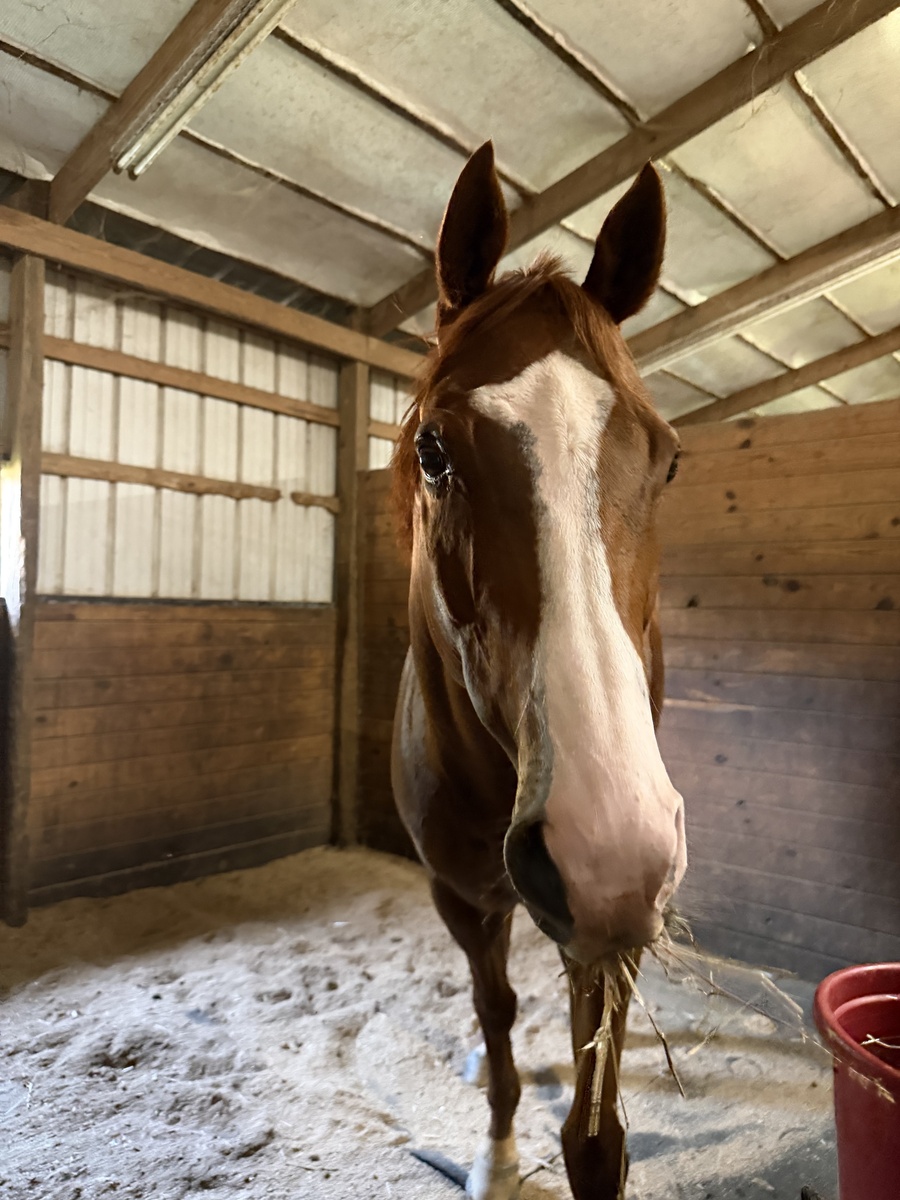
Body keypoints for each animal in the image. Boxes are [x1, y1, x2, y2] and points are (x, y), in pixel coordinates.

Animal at [390, 142, 686, 1200]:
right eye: (433, 450)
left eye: (669, 460)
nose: (607, 846)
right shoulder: (462, 897)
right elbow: (497, 1011)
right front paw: (496, 1155)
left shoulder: (615, 923)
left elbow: (598, 1132)